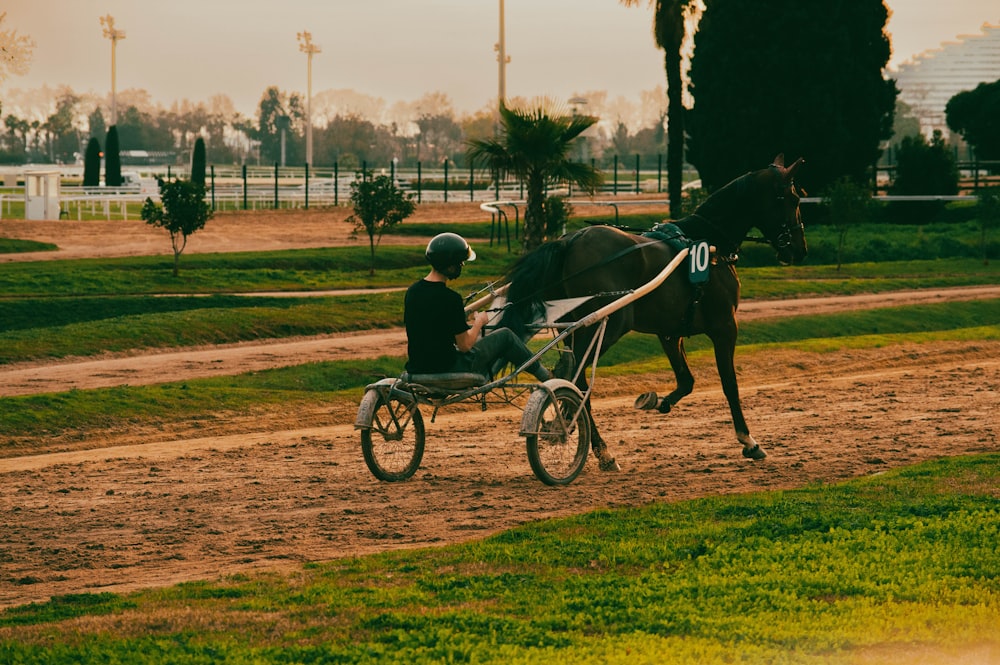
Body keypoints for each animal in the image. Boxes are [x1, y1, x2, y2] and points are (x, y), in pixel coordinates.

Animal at [498, 154, 804, 470]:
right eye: (794, 198)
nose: (799, 249)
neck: (709, 244)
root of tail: (569, 241)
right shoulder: (725, 327)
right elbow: (730, 384)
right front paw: (749, 440)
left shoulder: (670, 332)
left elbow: (686, 380)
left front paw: (657, 401)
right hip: (605, 326)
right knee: (577, 382)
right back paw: (592, 443)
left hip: (574, 327)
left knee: (569, 376)